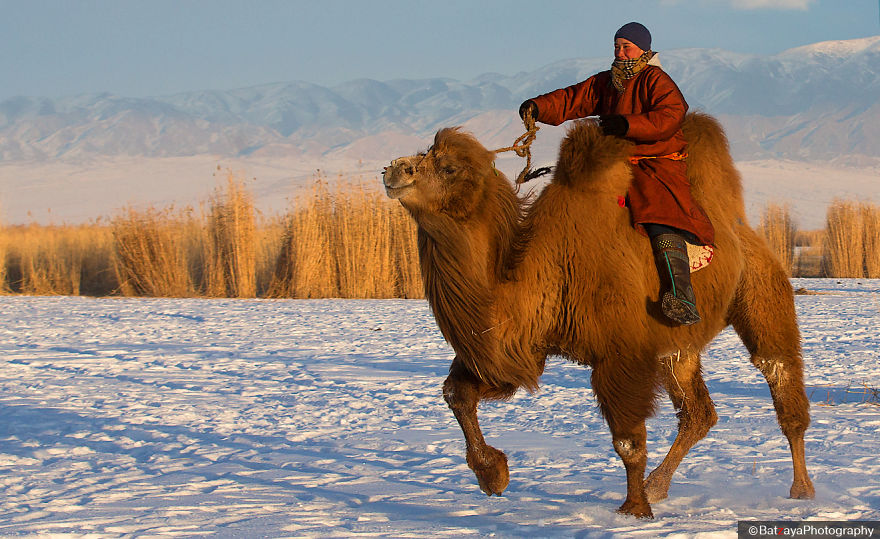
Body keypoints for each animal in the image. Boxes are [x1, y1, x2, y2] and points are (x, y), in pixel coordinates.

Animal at [382, 112, 814, 518]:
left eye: (448, 168)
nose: (393, 169)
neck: (545, 265)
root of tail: (745, 230)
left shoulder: (621, 354)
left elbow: (627, 440)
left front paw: (634, 510)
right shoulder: (520, 344)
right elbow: (457, 393)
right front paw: (493, 475)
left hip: (762, 293)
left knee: (778, 376)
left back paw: (802, 488)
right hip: (678, 347)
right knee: (698, 413)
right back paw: (659, 485)